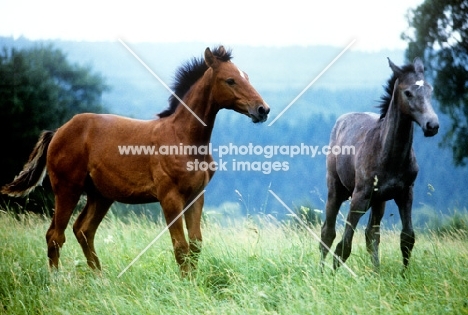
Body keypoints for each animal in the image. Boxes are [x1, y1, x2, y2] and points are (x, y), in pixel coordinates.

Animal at [1, 45, 268, 276]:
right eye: (230, 80)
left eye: (246, 76)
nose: (262, 109)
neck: (184, 138)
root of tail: (58, 131)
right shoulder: (169, 197)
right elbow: (180, 246)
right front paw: (187, 285)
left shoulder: (196, 196)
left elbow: (195, 245)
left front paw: (193, 283)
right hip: (68, 189)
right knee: (56, 235)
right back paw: (57, 281)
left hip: (100, 195)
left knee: (83, 230)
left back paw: (100, 279)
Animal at [320, 57, 440, 274]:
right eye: (408, 92)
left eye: (430, 89)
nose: (432, 125)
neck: (389, 156)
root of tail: (341, 120)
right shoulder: (359, 197)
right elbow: (344, 244)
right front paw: (332, 276)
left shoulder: (405, 193)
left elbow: (407, 237)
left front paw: (404, 275)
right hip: (337, 190)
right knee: (328, 232)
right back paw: (321, 271)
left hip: (379, 201)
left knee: (371, 235)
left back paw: (376, 272)